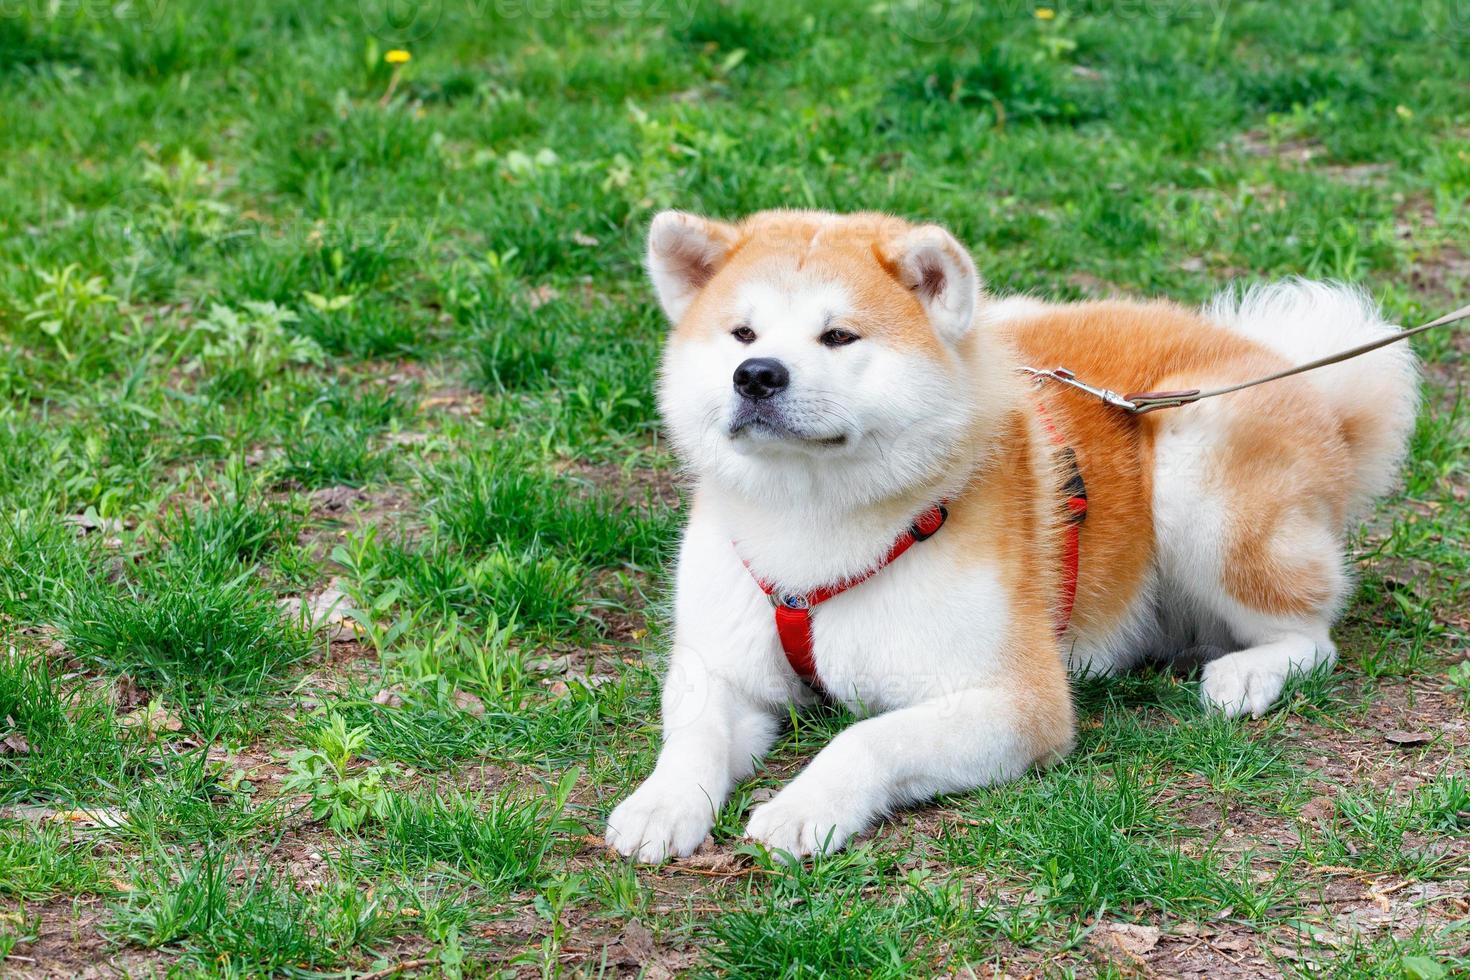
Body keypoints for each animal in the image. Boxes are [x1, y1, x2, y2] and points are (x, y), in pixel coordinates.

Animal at [602, 207, 1417, 858]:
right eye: (741, 332)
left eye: (838, 336)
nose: (757, 373)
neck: (811, 529)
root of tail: (1308, 386)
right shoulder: (722, 668)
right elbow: (693, 736)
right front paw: (661, 804)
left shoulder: (1018, 703)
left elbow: (866, 737)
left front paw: (806, 805)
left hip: (1197, 466)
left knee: (1312, 635)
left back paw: (1248, 673)